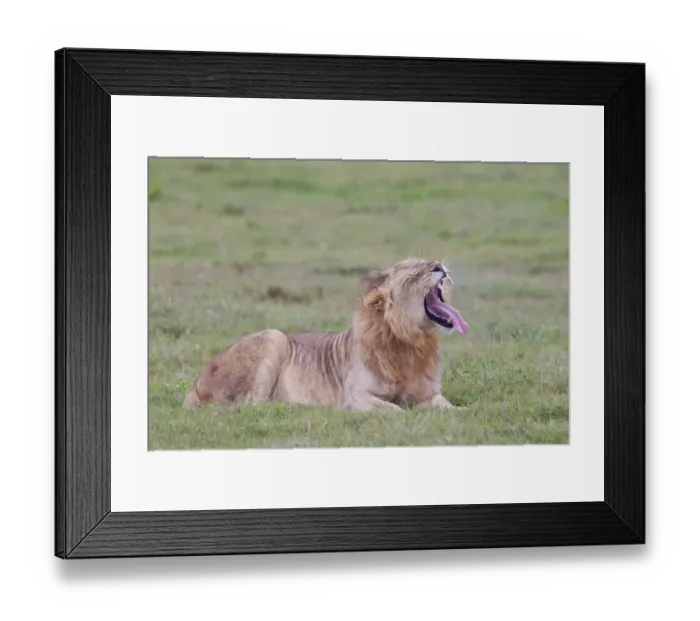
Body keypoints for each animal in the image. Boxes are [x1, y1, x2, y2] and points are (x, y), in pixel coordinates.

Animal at [183, 258, 469, 412]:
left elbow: (449, 408)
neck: (412, 342)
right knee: (250, 404)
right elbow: (395, 409)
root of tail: (196, 384)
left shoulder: (430, 394)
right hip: (275, 338)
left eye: (426, 262)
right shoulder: (355, 394)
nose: (439, 265)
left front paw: (465, 411)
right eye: (413, 275)